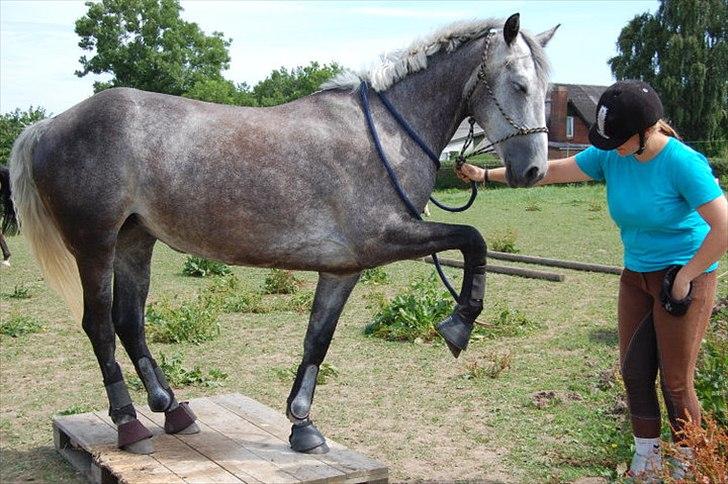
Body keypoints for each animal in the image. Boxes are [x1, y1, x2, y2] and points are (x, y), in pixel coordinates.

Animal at [7, 14, 556, 454]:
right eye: (519, 84)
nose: (532, 170)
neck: (384, 134)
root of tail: (49, 124)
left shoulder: (344, 267)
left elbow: (318, 339)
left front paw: (302, 426)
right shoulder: (386, 239)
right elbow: (473, 239)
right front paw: (459, 325)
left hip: (135, 242)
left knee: (129, 322)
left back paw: (172, 409)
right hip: (95, 246)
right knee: (99, 326)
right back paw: (129, 425)